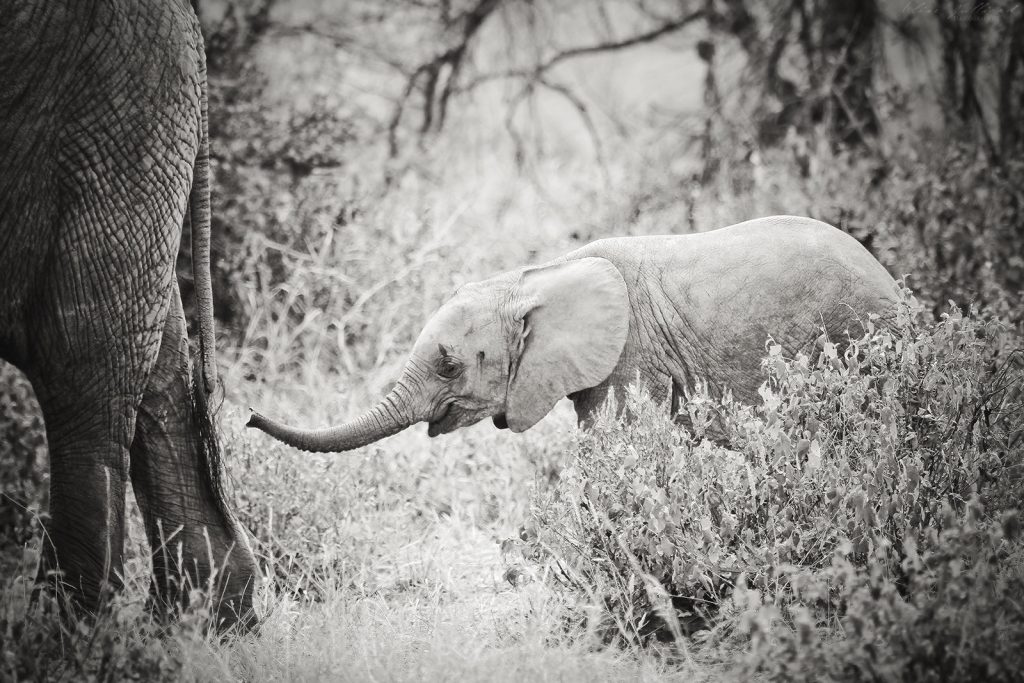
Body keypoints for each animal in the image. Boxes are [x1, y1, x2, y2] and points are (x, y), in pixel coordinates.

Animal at [0, 0, 256, 626]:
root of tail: (190, 22)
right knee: (156, 363)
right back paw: (196, 625)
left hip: (116, 113)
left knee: (80, 356)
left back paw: (62, 632)